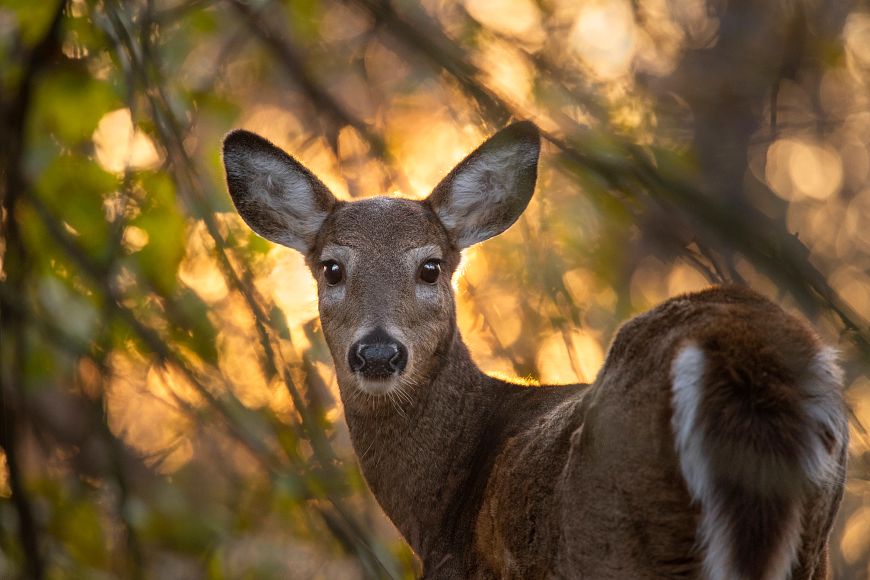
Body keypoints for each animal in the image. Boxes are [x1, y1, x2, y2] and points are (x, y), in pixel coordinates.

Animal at [221, 120, 848, 576]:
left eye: (430, 267)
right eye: (332, 268)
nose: (378, 354)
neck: (439, 511)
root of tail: (738, 348)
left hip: (619, 531)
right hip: (813, 540)